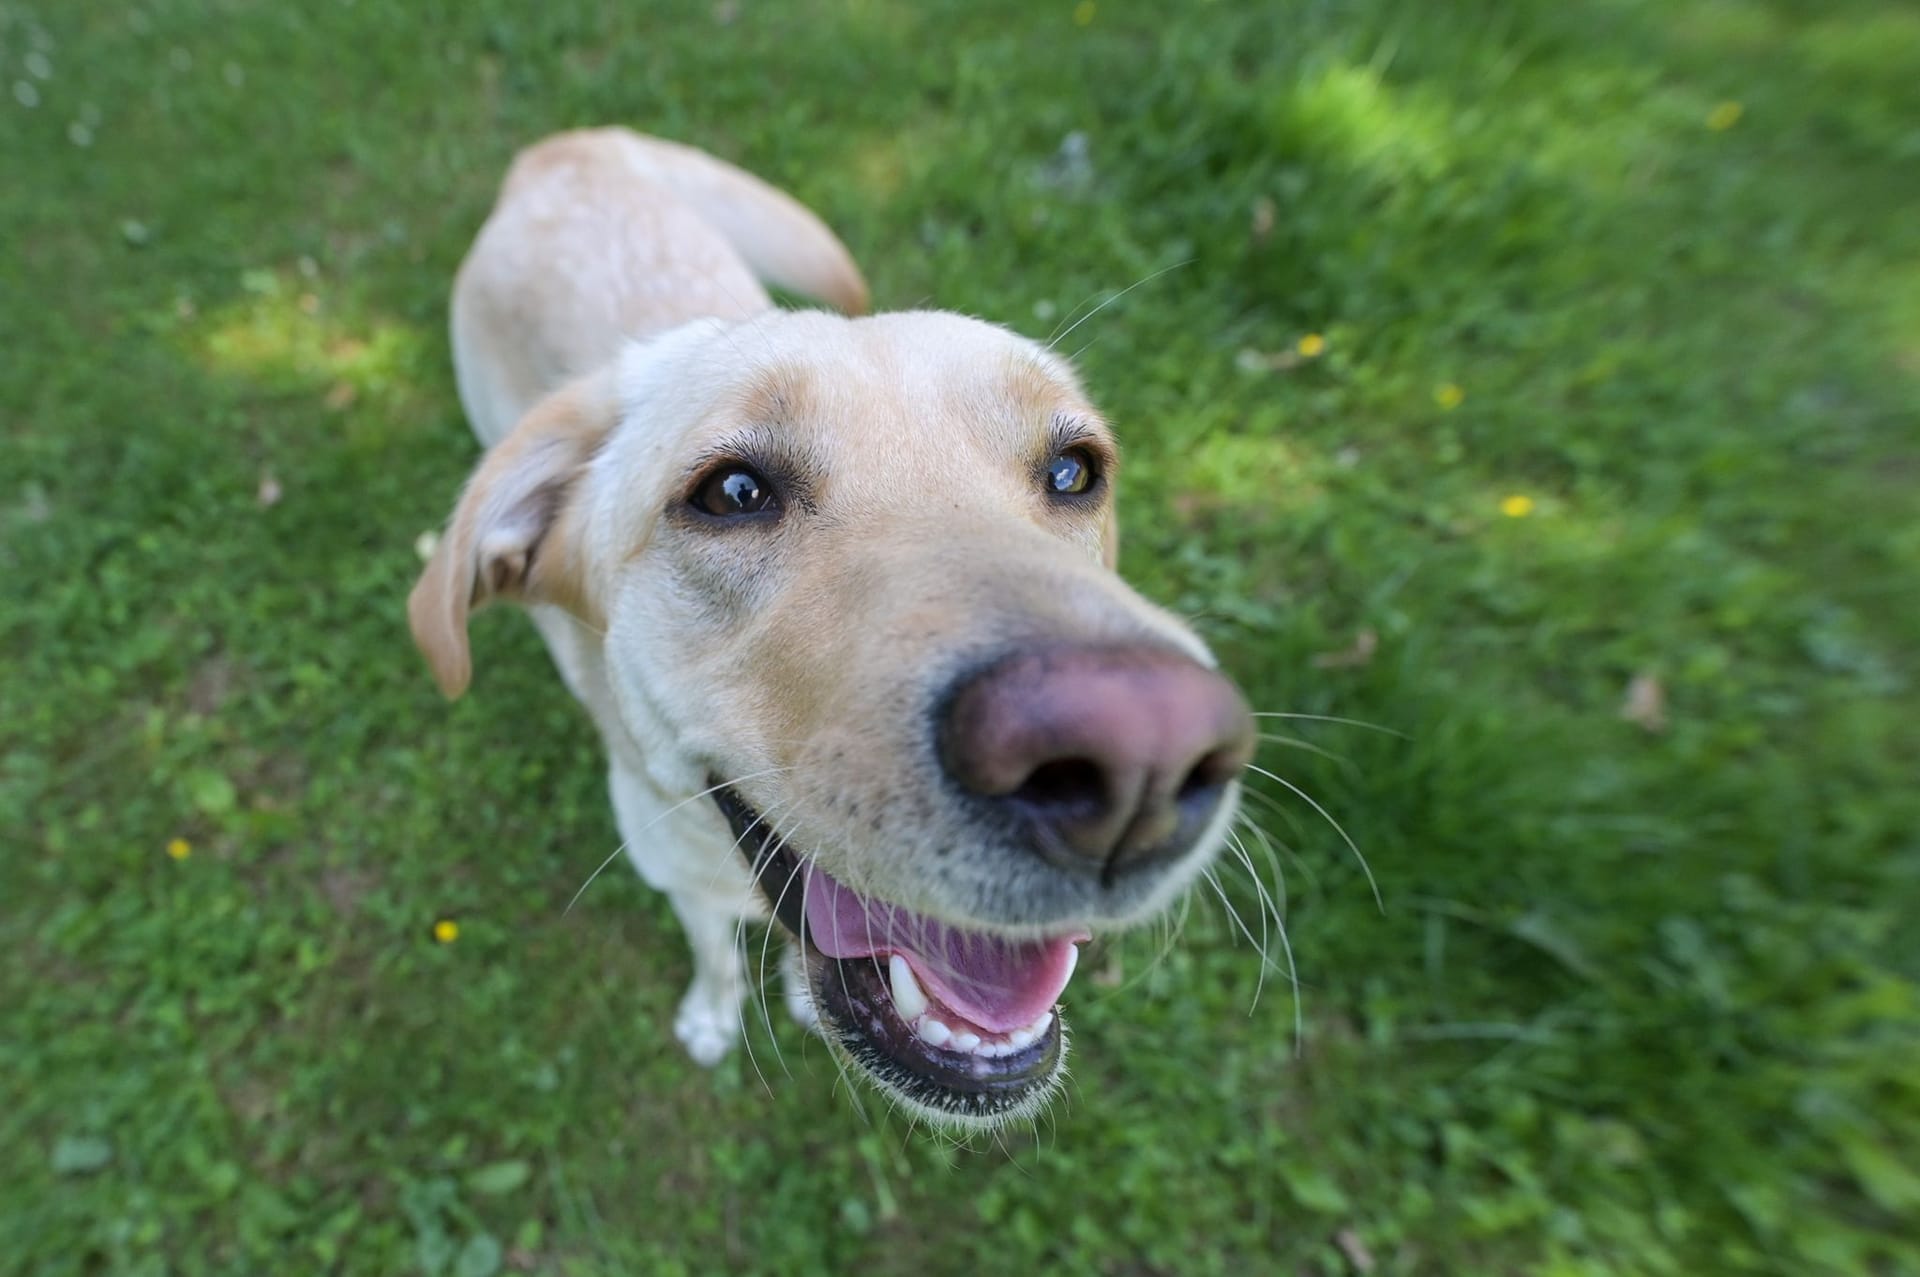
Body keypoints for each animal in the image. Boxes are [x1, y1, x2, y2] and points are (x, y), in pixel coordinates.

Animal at [410, 129, 1251, 1129]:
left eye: (1074, 470)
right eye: (734, 492)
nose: (1144, 760)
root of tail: (567, 149)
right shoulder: (681, 878)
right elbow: (715, 956)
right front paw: (712, 1013)